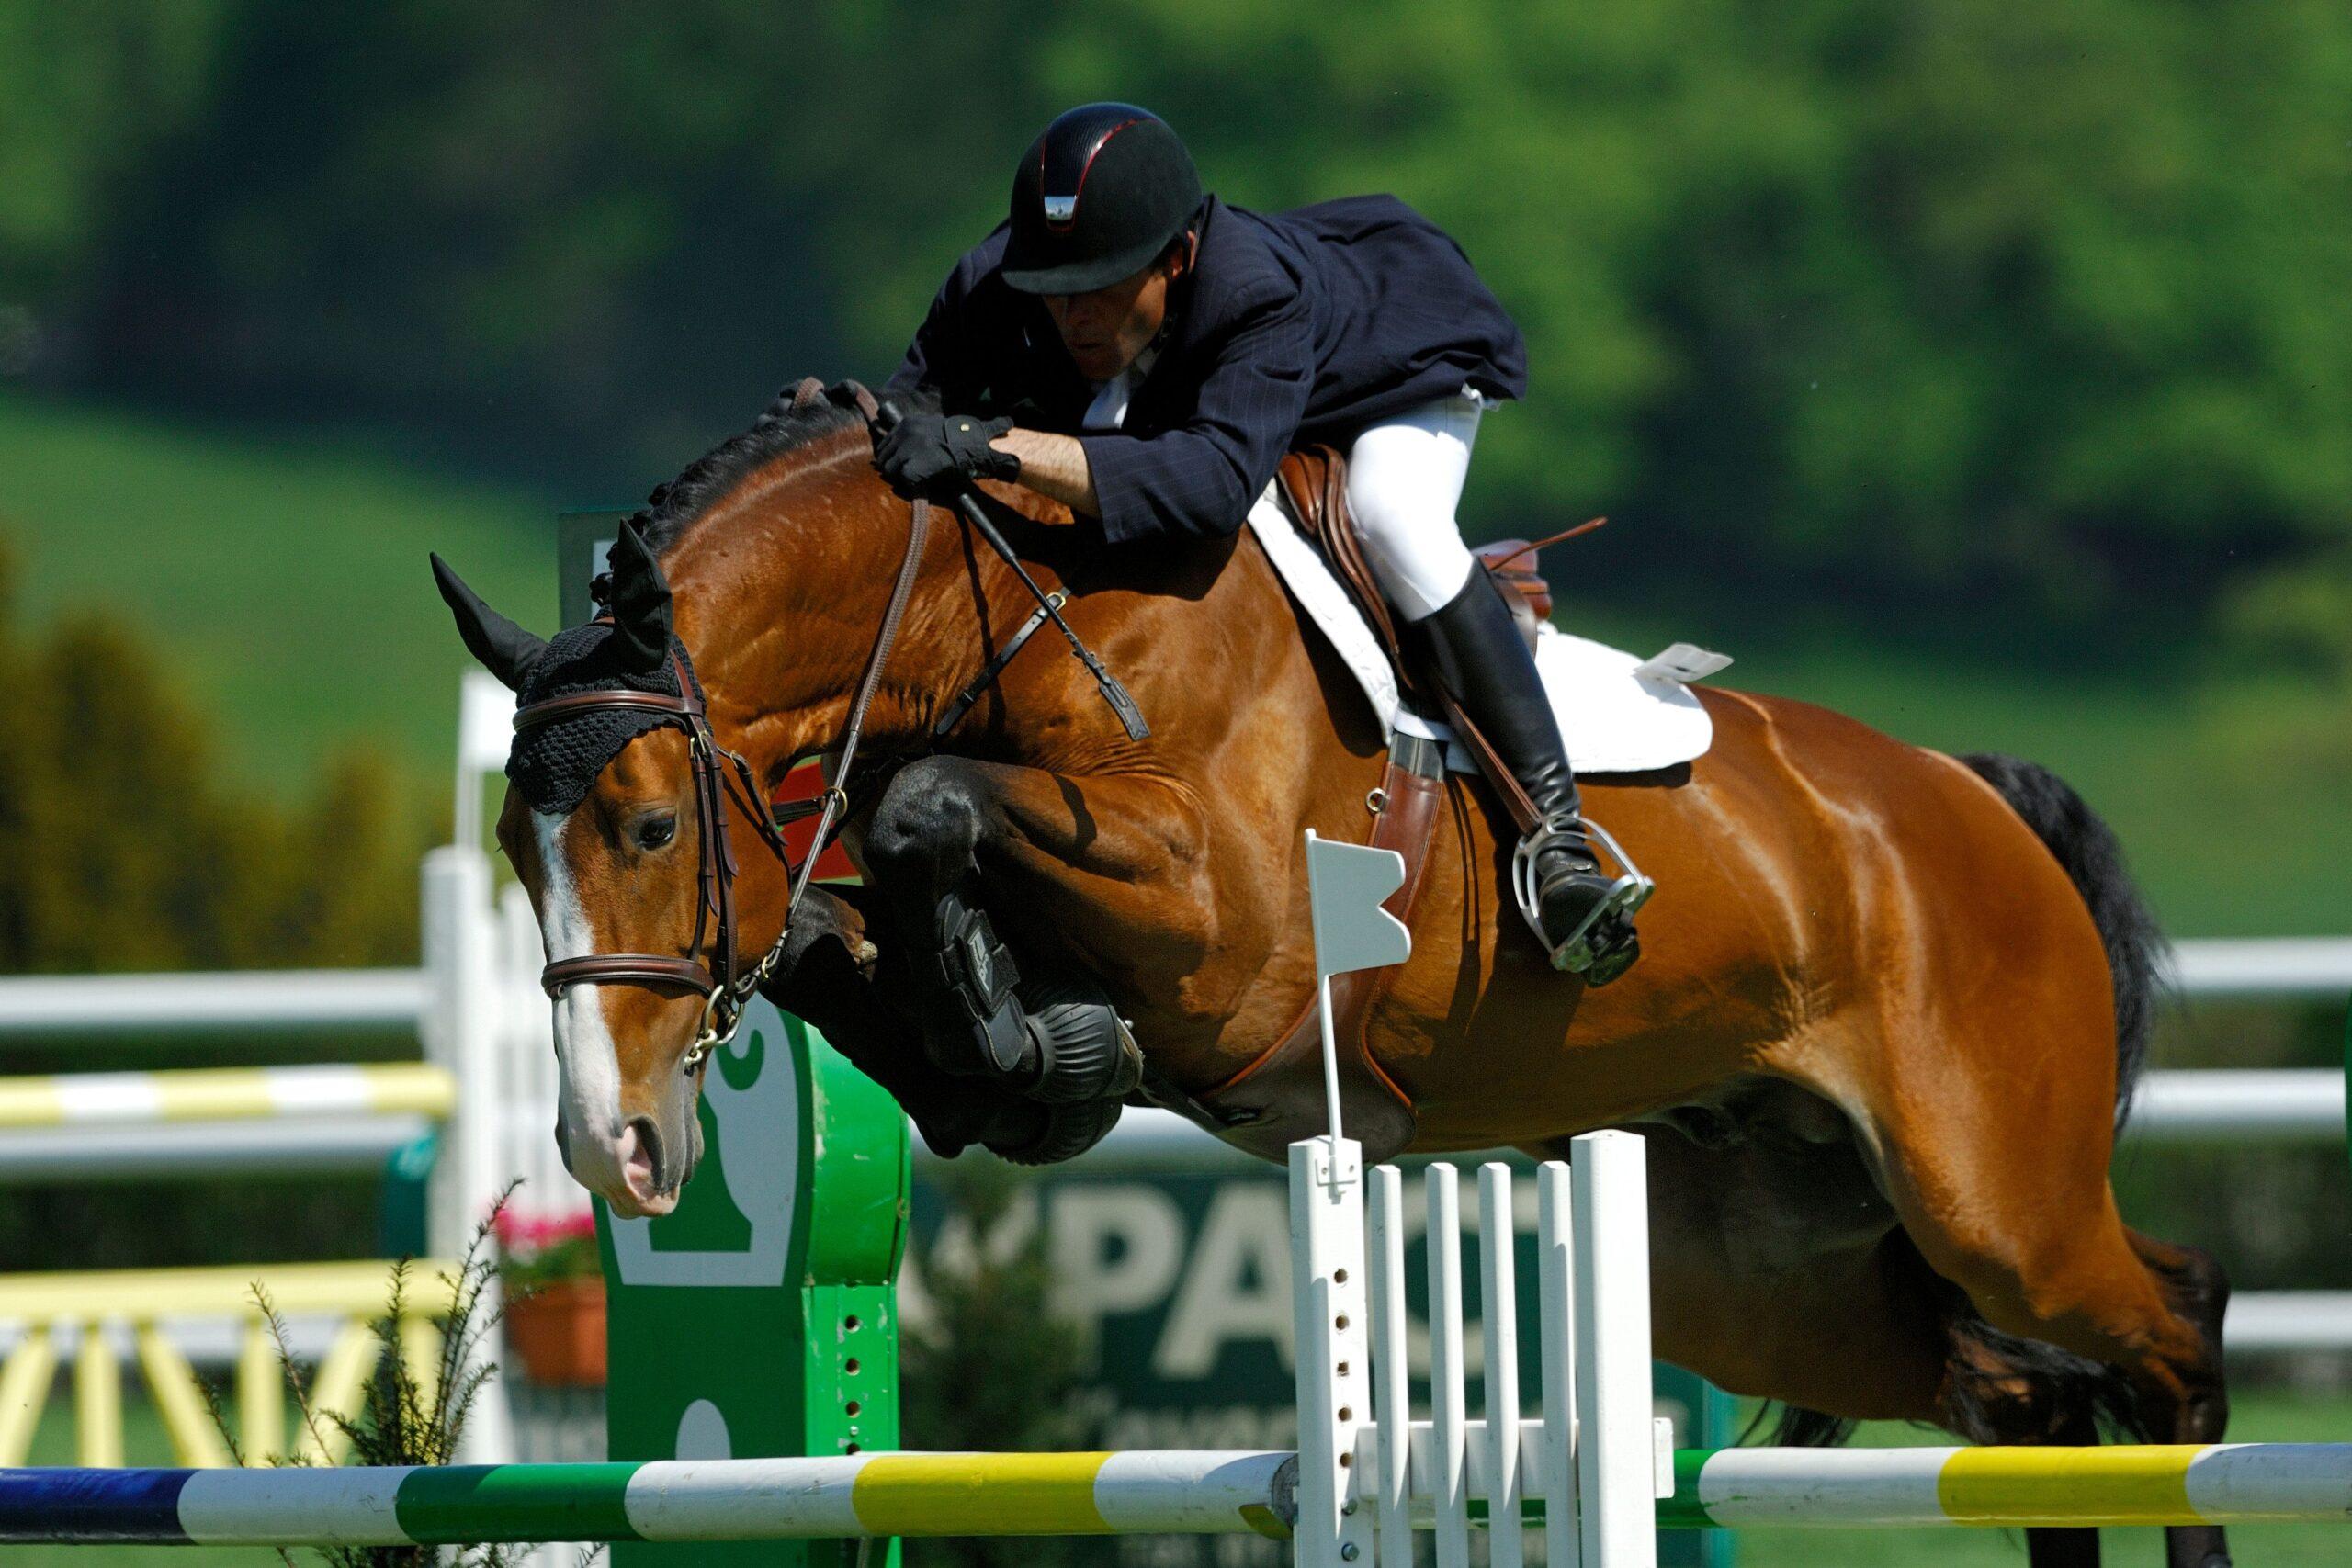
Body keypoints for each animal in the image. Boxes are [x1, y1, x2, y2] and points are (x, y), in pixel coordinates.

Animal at [436, 382, 2231, 1568]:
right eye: (517, 848)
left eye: (650, 822)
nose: (614, 1147)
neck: (1011, 608)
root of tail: (1968, 796)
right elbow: (845, 911)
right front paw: (1017, 1055)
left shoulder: (1225, 925)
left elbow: (922, 802)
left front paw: (1025, 1032)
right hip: (1783, 1280)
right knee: (2028, 1403)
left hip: (1994, 1199)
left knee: (2172, 1323)